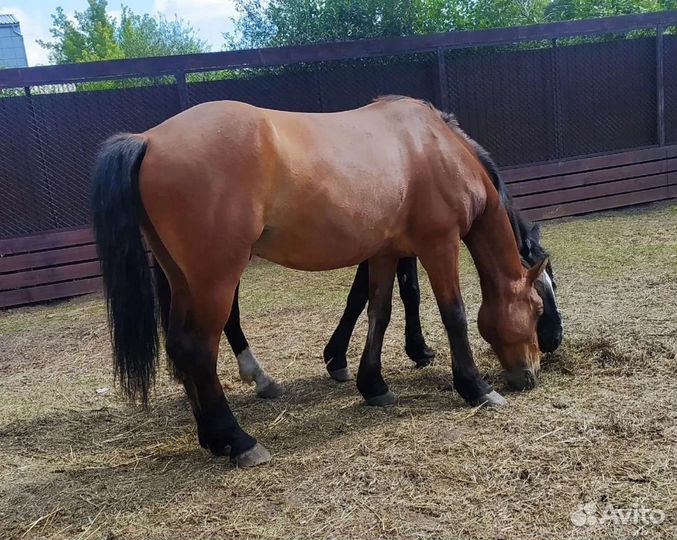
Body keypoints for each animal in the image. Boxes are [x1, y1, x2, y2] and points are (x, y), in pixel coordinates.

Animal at [92, 95, 551, 467]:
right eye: (539, 307)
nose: (531, 372)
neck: (435, 146)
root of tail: (148, 139)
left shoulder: (384, 252)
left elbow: (379, 313)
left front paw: (373, 385)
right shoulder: (439, 244)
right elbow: (453, 314)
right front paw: (475, 387)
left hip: (183, 279)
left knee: (180, 347)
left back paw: (212, 437)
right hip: (216, 280)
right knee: (198, 348)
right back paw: (238, 440)